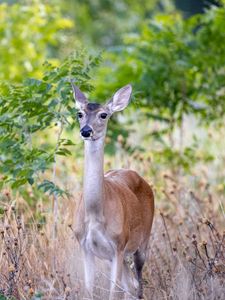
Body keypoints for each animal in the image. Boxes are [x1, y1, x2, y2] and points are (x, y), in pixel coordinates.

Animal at [72, 82, 155, 300]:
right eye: (79, 113)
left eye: (103, 115)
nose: (86, 131)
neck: (95, 214)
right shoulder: (85, 246)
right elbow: (89, 290)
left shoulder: (118, 244)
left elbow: (113, 292)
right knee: (130, 285)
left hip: (142, 241)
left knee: (138, 283)